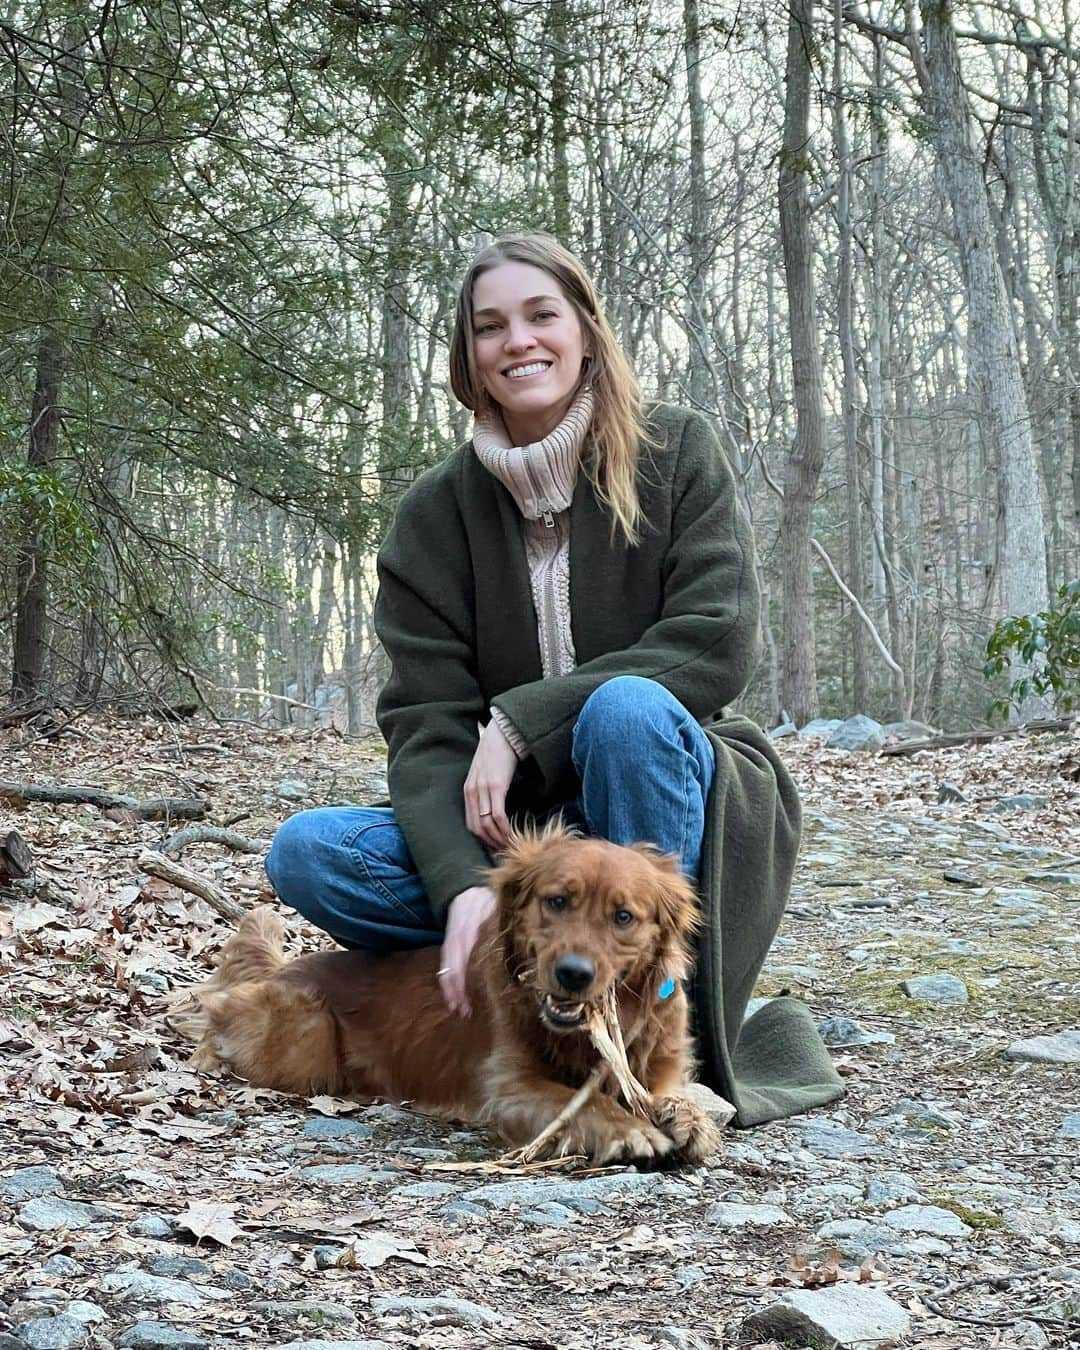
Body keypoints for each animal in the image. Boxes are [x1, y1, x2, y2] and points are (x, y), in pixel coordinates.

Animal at [172, 815, 723, 1166]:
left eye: (623, 917)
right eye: (557, 901)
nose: (573, 974)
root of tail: (286, 969)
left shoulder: (657, 1066)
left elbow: (670, 1096)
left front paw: (688, 1120)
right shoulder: (509, 1087)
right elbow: (580, 1103)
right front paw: (629, 1130)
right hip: (305, 1040)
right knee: (220, 1009)